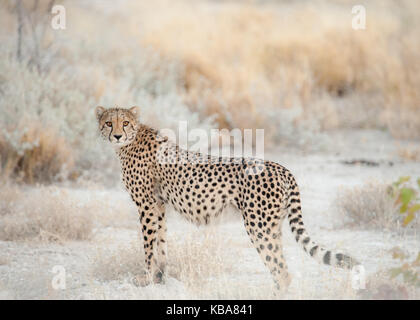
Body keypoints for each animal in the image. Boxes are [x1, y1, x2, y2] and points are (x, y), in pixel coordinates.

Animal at [96, 106, 360, 292]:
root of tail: (281, 167)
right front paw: (160, 277)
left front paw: (147, 277)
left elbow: (149, 245)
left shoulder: (147, 206)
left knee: (282, 272)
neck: (131, 142)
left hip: (259, 226)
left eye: (125, 122)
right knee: (280, 268)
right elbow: (160, 242)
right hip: (273, 226)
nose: (117, 135)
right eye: (109, 123)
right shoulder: (159, 205)